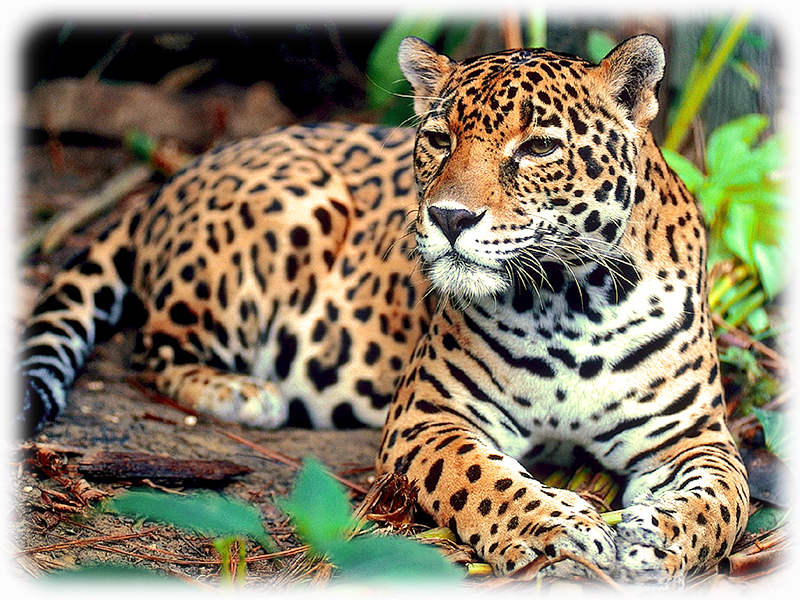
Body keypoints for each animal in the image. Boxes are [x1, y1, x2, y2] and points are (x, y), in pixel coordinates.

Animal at [17, 34, 748, 587]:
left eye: (540, 147)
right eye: (438, 137)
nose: (449, 217)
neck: (570, 299)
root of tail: (171, 179)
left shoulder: (696, 437)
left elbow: (722, 503)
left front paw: (655, 539)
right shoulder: (431, 419)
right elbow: (489, 482)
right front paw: (559, 532)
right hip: (293, 208)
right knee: (154, 347)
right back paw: (246, 393)